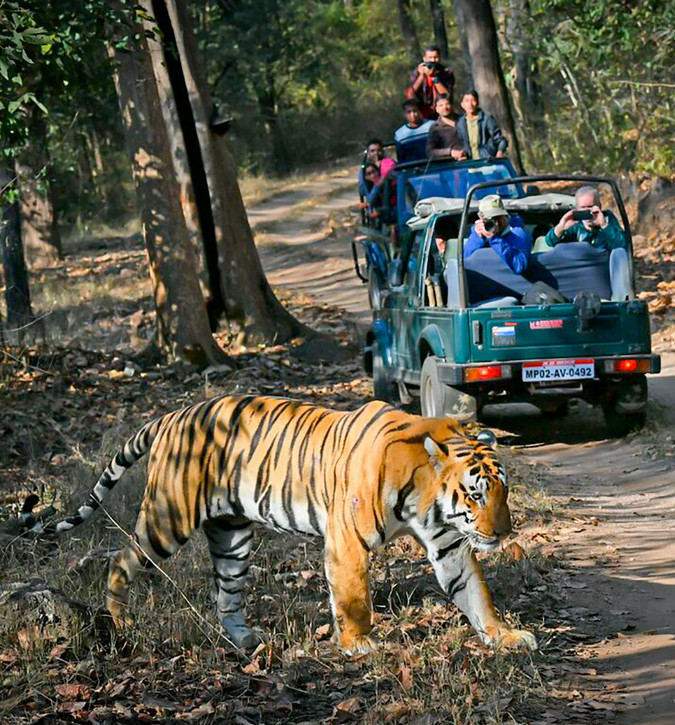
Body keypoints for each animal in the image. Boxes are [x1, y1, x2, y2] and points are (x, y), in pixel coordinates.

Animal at [28, 394, 536, 655]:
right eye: (475, 494)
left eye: (503, 491)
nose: (502, 534)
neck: (427, 501)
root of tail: (174, 414)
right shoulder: (347, 540)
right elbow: (354, 597)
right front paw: (358, 645)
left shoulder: (450, 545)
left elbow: (476, 595)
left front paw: (504, 636)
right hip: (166, 521)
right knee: (120, 560)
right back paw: (120, 621)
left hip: (232, 537)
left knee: (225, 596)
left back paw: (247, 642)